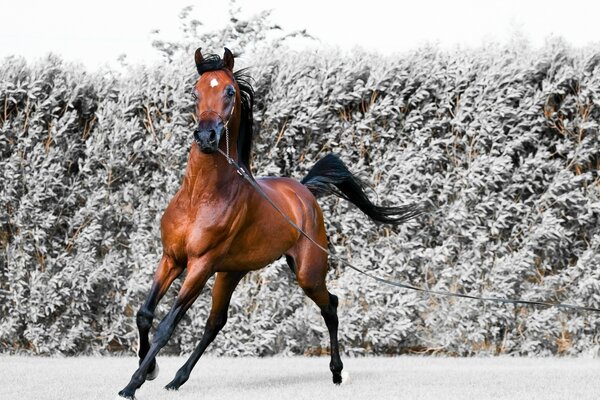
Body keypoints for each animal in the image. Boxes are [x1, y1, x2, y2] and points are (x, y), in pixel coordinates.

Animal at [116, 47, 418, 400]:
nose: (206, 137)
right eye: (195, 91)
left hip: (307, 272)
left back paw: (337, 373)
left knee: (330, 305)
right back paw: (177, 379)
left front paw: (132, 384)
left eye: (229, 92)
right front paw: (149, 369)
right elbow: (144, 314)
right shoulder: (172, 259)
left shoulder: (200, 265)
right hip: (230, 273)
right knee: (216, 322)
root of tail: (304, 191)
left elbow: (166, 326)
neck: (199, 198)